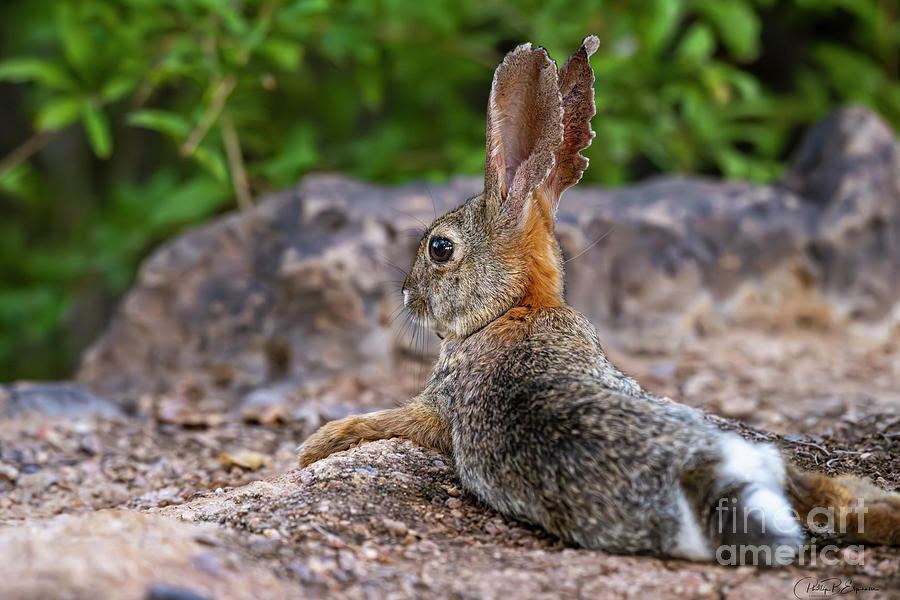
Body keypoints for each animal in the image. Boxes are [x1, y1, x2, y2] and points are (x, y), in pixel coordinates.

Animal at [300, 36, 900, 564]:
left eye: (439, 248)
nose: (406, 295)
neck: (516, 307)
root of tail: (702, 477)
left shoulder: (435, 406)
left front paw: (314, 446)